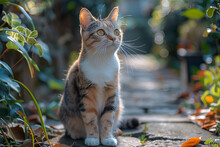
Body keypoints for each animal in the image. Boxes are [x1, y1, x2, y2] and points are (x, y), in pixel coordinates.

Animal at [58, 6, 124, 146]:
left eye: (116, 31)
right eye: (100, 32)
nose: (114, 38)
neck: (102, 61)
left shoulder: (112, 92)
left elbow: (108, 118)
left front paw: (107, 138)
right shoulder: (85, 93)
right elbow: (90, 118)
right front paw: (93, 138)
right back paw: (75, 134)